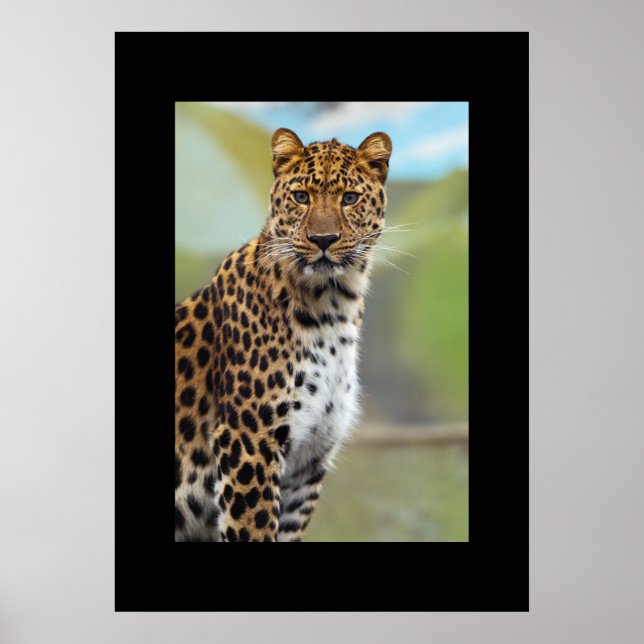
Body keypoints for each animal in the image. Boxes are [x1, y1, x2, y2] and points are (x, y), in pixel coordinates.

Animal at [175, 127, 392, 542]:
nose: (323, 239)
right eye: (301, 196)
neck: (332, 308)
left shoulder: (308, 461)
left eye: (350, 198)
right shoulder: (249, 441)